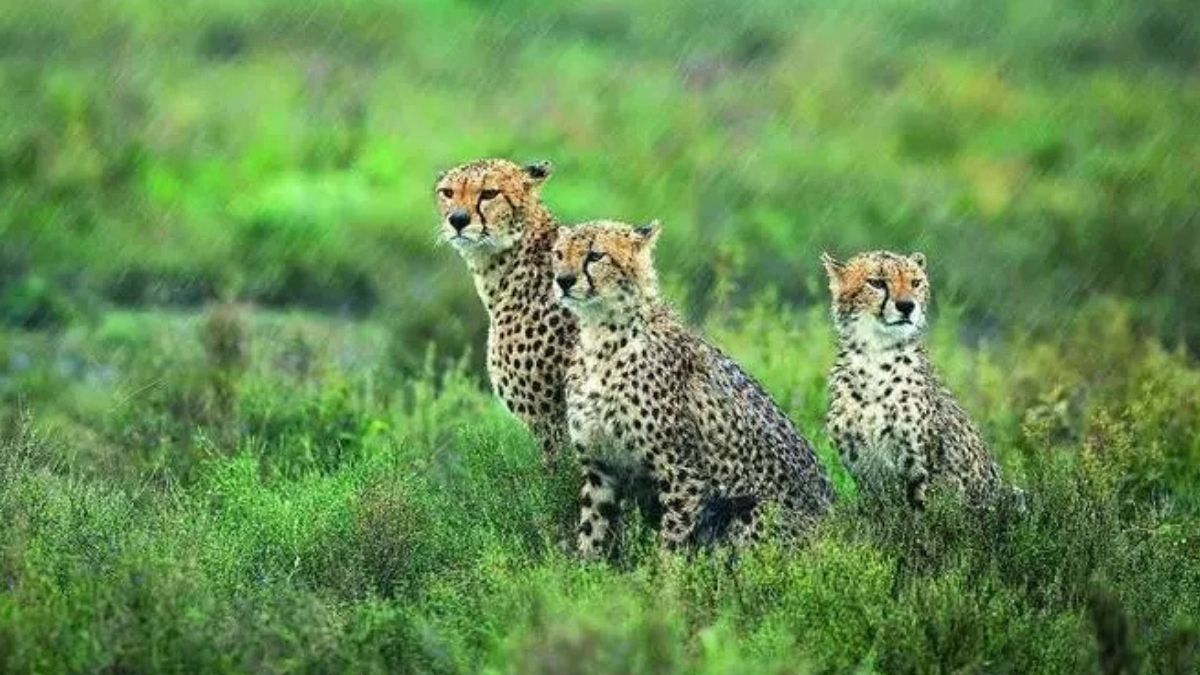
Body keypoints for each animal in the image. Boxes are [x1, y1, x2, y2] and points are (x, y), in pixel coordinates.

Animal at [553, 219, 835, 558]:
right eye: (559, 253)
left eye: (595, 255)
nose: (563, 281)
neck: (601, 338)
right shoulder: (600, 468)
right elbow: (592, 529)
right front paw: (583, 567)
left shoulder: (683, 474)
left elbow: (672, 543)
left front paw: (661, 574)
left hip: (753, 511)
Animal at [822, 250, 1014, 511]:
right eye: (877, 283)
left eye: (915, 282)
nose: (906, 306)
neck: (876, 356)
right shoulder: (864, 471)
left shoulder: (922, 470)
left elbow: (926, 517)